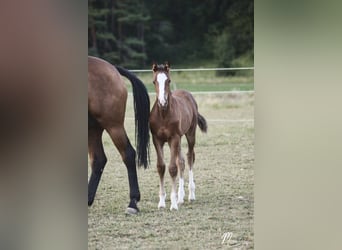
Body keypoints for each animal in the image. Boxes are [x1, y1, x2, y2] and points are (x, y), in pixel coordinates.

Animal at [87, 56, 149, 215]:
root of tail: (113, 68)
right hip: (93, 128)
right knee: (98, 160)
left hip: (113, 125)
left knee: (128, 154)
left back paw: (133, 203)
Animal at [149, 62, 207, 211]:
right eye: (154, 81)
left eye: (168, 80)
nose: (162, 102)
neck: (164, 115)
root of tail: (187, 94)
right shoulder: (157, 139)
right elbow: (161, 167)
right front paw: (162, 202)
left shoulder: (173, 138)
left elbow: (172, 168)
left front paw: (174, 204)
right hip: (178, 140)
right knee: (181, 161)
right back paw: (181, 196)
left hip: (189, 134)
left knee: (190, 157)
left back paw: (190, 194)